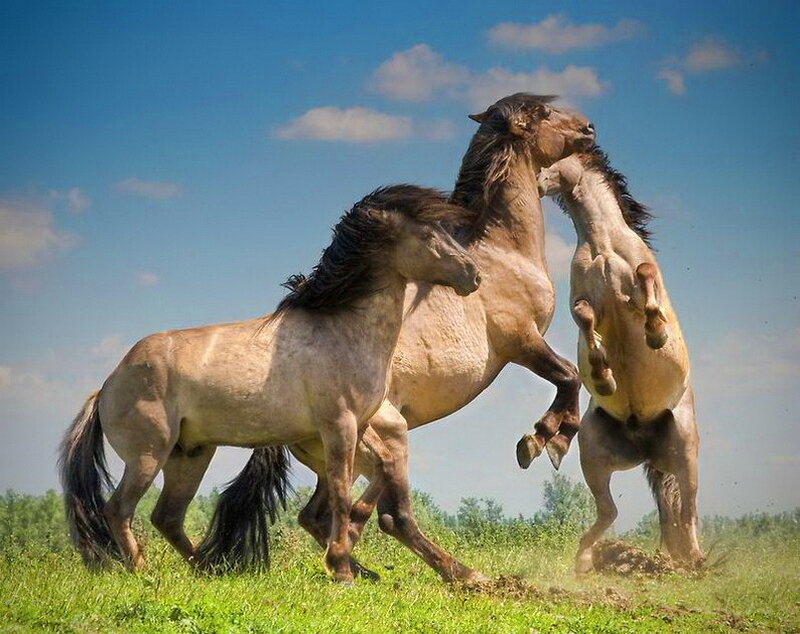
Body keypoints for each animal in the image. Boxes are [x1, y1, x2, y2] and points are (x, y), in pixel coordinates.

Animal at [59, 185, 481, 584]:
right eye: (427, 234)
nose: (473, 276)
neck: (343, 331)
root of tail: (107, 386)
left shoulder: (358, 427)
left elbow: (379, 470)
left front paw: (349, 546)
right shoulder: (339, 425)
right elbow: (342, 493)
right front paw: (342, 569)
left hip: (189, 455)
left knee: (167, 517)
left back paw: (211, 568)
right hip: (148, 456)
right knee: (119, 510)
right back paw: (143, 571)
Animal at [206, 94, 596, 583]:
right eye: (545, 114)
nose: (588, 129)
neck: (503, 251)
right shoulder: (521, 341)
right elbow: (569, 376)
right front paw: (543, 442)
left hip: (342, 456)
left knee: (320, 513)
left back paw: (362, 569)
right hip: (386, 436)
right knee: (391, 516)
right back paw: (459, 573)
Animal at [534, 146, 704, 574]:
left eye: (553, 157)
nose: (536, 182)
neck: (604, 246)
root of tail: (644, 443)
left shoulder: (644, 277)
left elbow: (645, 279)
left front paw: (656, 332)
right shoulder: (582, 299)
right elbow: (584, 317)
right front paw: (604, 376)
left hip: (685, 451)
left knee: (688, 510)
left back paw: (695, 560)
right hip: (593, 455)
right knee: (609, 512)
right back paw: (583, 561)